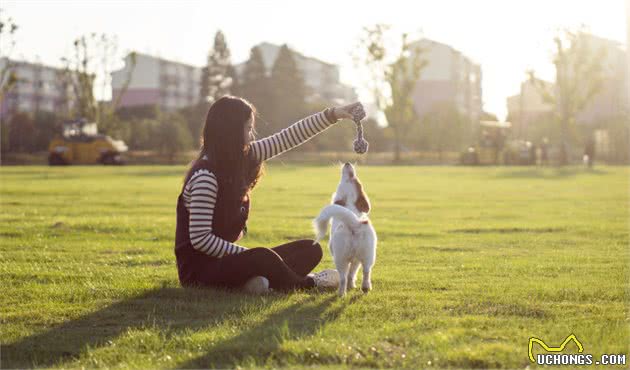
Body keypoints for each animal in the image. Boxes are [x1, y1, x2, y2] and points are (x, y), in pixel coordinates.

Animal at [314, 163, 378, 296]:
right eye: (355, 179)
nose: (347, 163)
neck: (350, 205)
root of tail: (354, 223)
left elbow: (349, 274)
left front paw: (349, 286)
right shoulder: (356, 260)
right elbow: (352, 273)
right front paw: (352, 285)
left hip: (340, 259)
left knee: (342, 277)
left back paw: (341, 293)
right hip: (369, 255)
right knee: (366, 271)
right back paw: (365, 287)